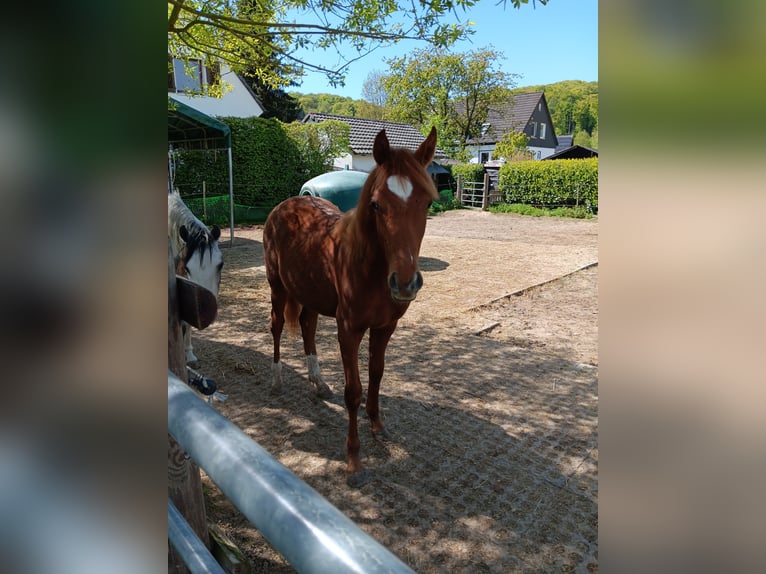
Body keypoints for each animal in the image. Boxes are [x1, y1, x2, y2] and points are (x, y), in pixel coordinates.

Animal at [262, 127, 438, 486]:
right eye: (376, 204)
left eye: (427, 202)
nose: (405, 282)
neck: (368, 267)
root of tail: (286, 205)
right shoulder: (349, 330)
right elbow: (353, 391)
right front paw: (354, 461)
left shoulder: (384, 328)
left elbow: (376, 374)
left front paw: (378, 426)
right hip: (278, 288)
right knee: (276, 328)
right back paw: (276, 380)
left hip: (310, 293)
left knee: (308, 328)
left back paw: (318, 383)